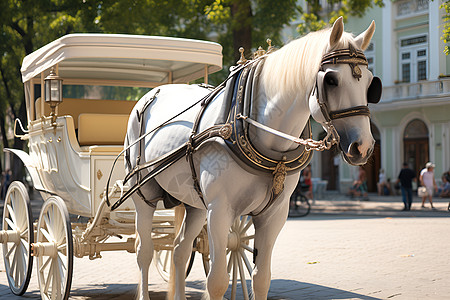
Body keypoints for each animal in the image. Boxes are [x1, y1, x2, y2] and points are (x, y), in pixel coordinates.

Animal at [125, 17, 380, 300]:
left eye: (370, 83)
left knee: (180, 249)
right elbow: (217, 281)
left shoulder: (273, 214)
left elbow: (261, 278)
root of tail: (151, 94)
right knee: (144, 251)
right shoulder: (219, 210)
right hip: (144, 194)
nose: (363, 146)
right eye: (332, 80)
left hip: (195, 203)